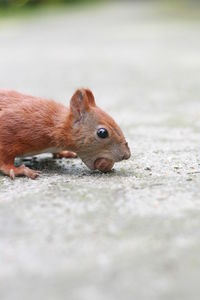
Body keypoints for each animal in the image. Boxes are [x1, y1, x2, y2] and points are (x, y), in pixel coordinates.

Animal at [0, 88, 130, 179]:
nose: (127, 155)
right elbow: (5, 160)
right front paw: (17, 170)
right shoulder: (11, 127)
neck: (55, 125)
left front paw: (64, 153)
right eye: (102, 133)